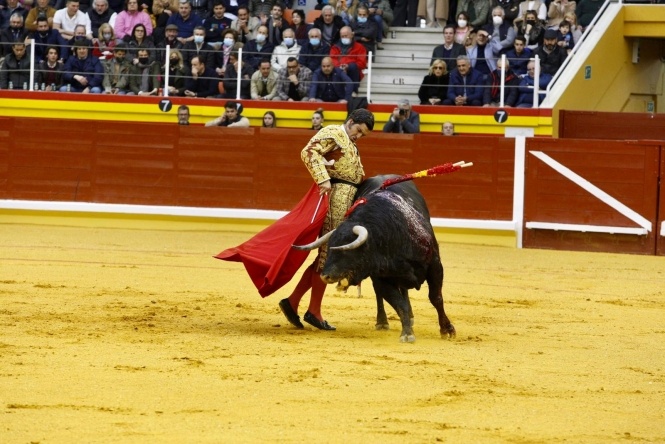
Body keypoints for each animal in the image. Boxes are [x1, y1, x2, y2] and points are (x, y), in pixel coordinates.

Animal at [296, 175, 456, 342]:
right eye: (330, 248)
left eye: (345, 250)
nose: (324, 276)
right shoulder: (381, 278)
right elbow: (399, 303)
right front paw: (407, 333)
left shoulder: (435, 265)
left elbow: (436, 297)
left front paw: (447, 330)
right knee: (382, 295)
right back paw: (382, 322)